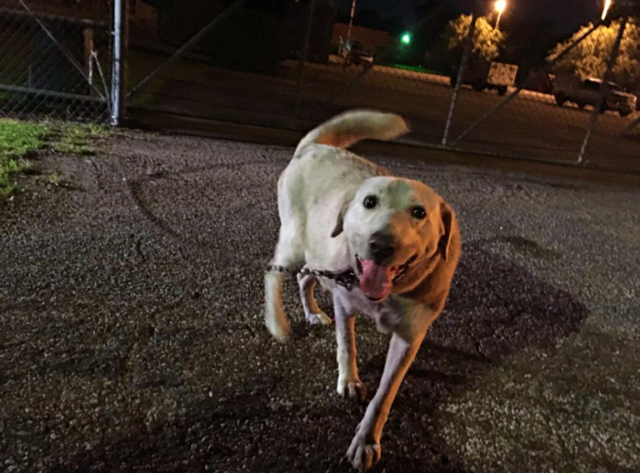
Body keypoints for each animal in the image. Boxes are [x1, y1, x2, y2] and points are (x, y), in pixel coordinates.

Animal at [264, 109, 460, 468]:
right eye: (369, 202)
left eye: (419, 213)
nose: (380, 244)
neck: (389, 293)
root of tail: (315, 146)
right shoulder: (345, 304)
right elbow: (347, 345)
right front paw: (349, 381)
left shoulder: (410, 337)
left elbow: (385, 395)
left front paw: (366, 440)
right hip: (294, 242)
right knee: (274, 274)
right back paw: (277, 323)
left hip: (317, 253)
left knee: (304, 277)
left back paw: (312, 313)